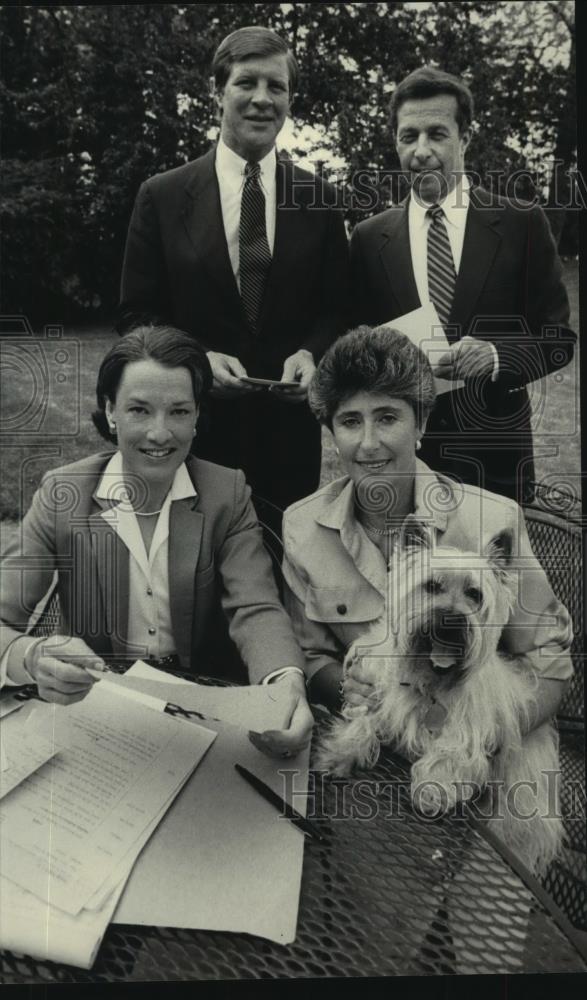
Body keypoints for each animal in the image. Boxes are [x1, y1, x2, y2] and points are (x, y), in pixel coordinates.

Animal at [316, 528, 564, 880]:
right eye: (432, 586)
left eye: (474, 594)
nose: (452, 619)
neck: (427, 675)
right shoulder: (373, 688)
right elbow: (363, 719)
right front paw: (339, 753)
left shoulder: (466, 731)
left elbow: (446, 755)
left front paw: (432, 791)